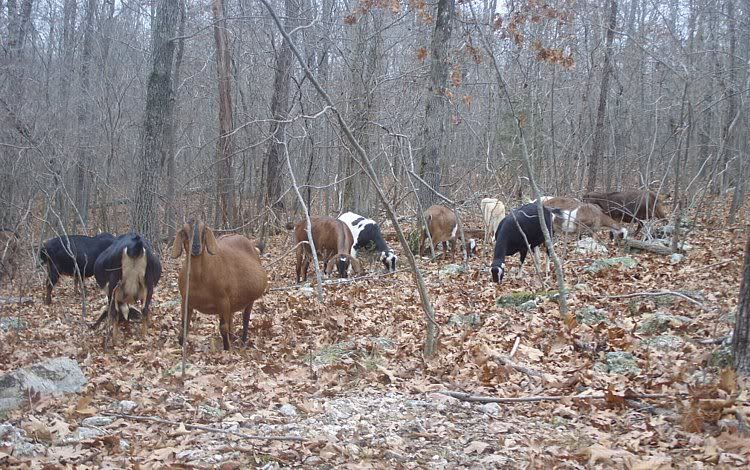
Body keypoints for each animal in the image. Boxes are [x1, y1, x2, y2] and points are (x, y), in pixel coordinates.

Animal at [171, 220, 267, 351]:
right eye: (185, 232)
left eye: (203, 231)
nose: (195, 247)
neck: (199, 280)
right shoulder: (186, 301)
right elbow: (184, 326)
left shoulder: (223, 301)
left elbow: (223, 327)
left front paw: (227, 348)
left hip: (249, 300)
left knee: (245, 319)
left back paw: (243, 342)